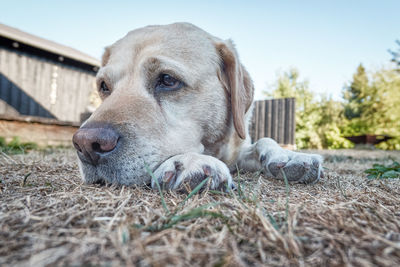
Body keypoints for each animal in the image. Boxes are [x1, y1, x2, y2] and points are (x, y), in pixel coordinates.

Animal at [71, 22, 322, 191]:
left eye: (167, 80)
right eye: (104, 86)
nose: (86, 144)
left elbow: (265, 140)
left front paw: (288, 156)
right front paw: (190, 161)